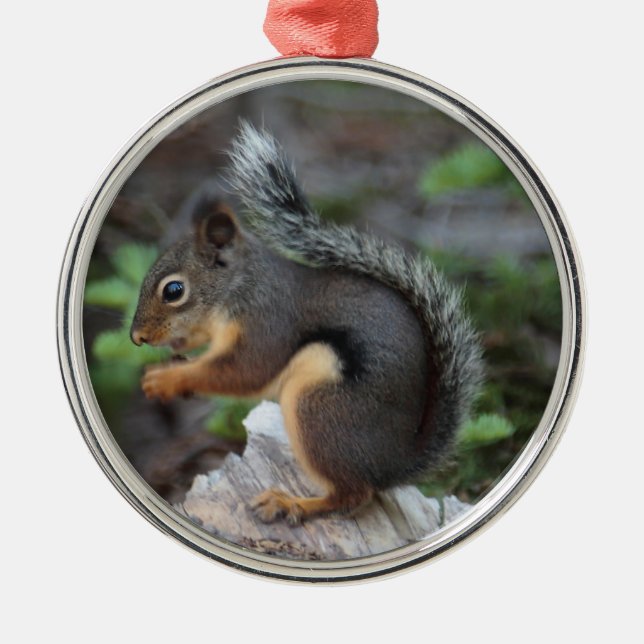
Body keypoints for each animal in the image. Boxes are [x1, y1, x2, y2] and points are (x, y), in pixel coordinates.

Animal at [130, 122, 483, 525]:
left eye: (173, 290)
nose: (137, 337)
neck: (242, 287)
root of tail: (395, 466)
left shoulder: (268, 321)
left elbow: (244, 372)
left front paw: (168, 379)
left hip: (319, 409)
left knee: (353, 494)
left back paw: (292, 504)